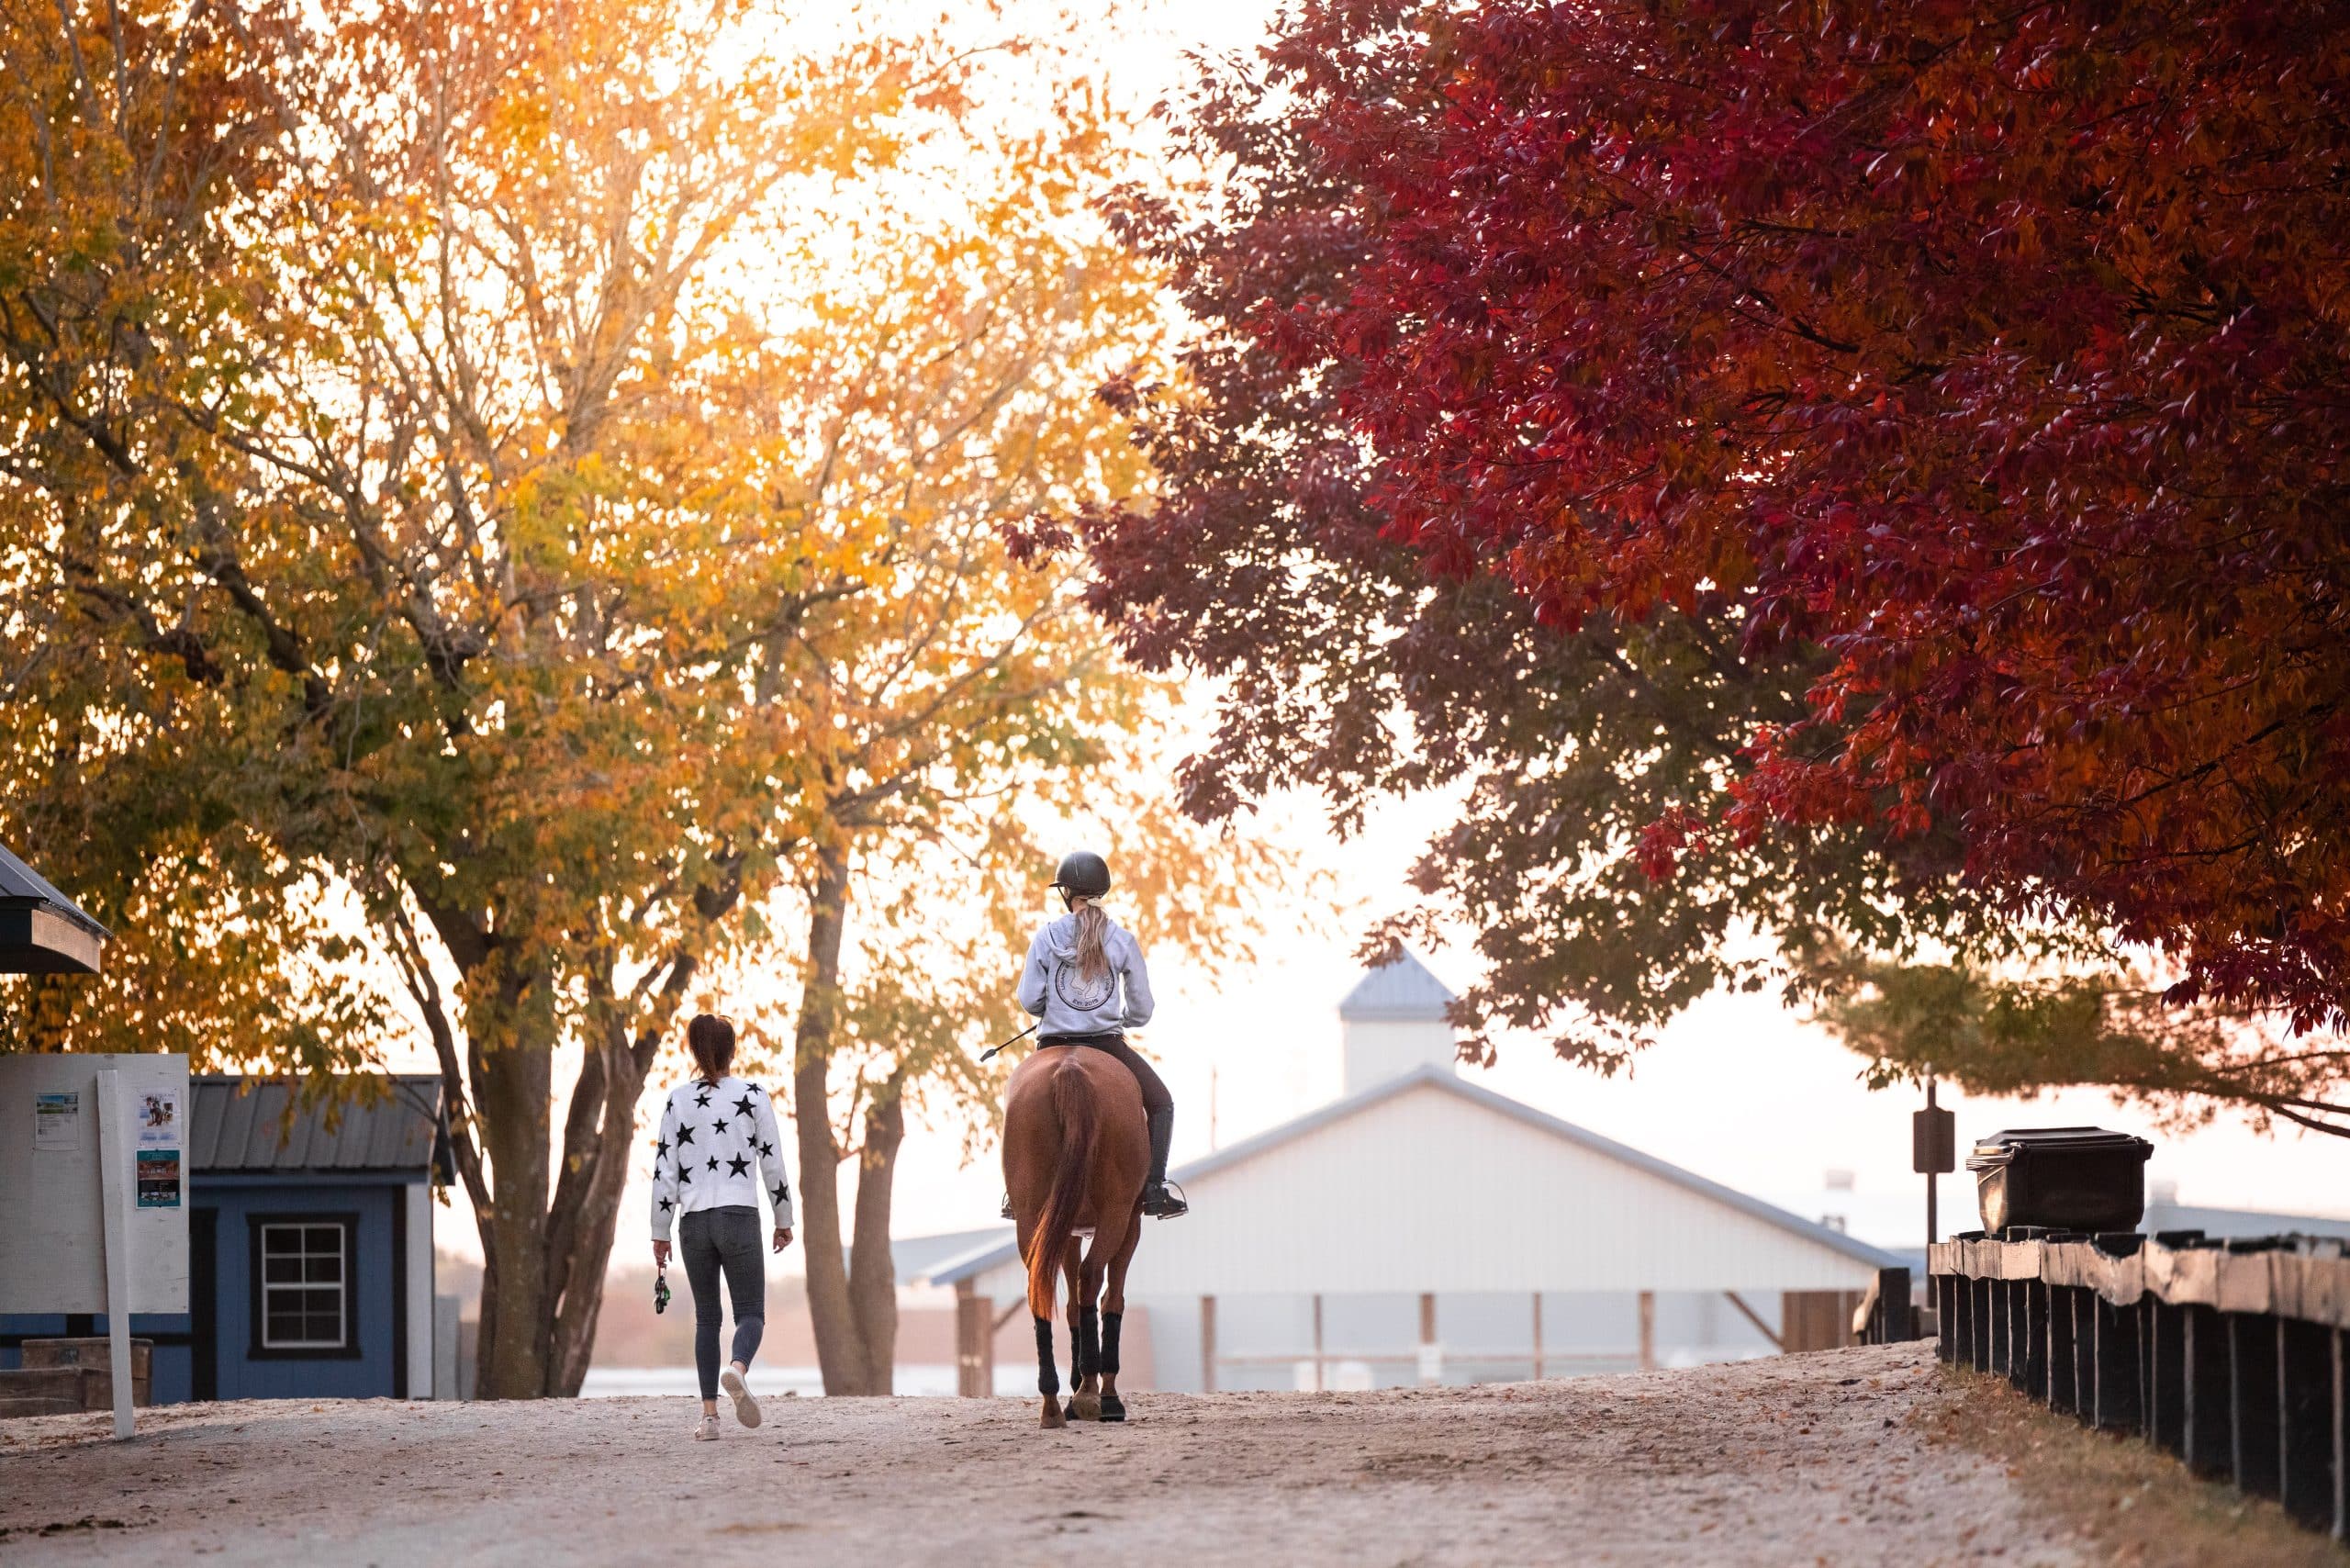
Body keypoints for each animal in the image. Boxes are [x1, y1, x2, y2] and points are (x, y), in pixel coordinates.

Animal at [1001, 1048, 1147, 1428]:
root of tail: (1070, 1065)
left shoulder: (1065, 1231)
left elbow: (1071, 1306)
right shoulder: (1131, 1223)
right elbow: (1111, 1298)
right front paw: (1101, 1390)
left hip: (1033, 1217)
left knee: (1041, 1287)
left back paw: (1053, 1404)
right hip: (1115, 1214)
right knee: (1093, 1278)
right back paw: (1094, 1396)